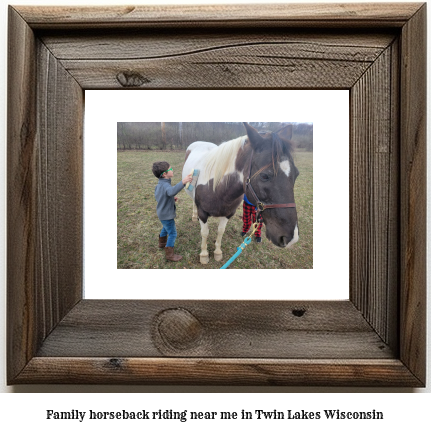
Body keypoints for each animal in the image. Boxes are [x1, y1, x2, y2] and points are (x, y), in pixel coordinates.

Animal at [182, 121, 300, 264]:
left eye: (296, 174)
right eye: (264, 176)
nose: (291, 238)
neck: (217, 188)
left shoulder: (228, 214)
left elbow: (220, 231)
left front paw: (217, 252)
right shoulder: (203, 213)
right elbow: (205, 233)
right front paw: (204, 255)